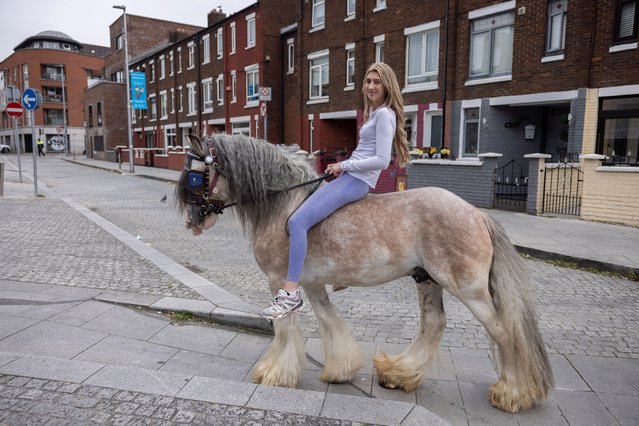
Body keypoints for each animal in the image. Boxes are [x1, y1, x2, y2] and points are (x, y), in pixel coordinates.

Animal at [176, 134, 556, 412]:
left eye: (195, 174)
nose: (192, 221)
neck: (284, 206)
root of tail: (477, 213)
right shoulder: (312, 285)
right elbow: (330, 322)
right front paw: (340, 369)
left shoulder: (279, 281)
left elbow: (284, 327)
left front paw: (274, 373)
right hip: (427, 279)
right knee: (434, 324)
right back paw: (400, 373)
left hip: (469, 288)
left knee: (504, 331)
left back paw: (513, 393)